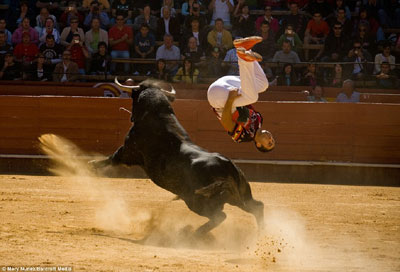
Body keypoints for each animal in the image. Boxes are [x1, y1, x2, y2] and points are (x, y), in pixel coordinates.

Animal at [92, 80, 264, 234]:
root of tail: (228, 165)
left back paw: (194, 234)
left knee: (219, 216)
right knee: (257, 206)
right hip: (240, 195)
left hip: (196, 201)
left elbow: (111, 158)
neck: (158, 115)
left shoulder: (127, 151)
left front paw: (91, 164)